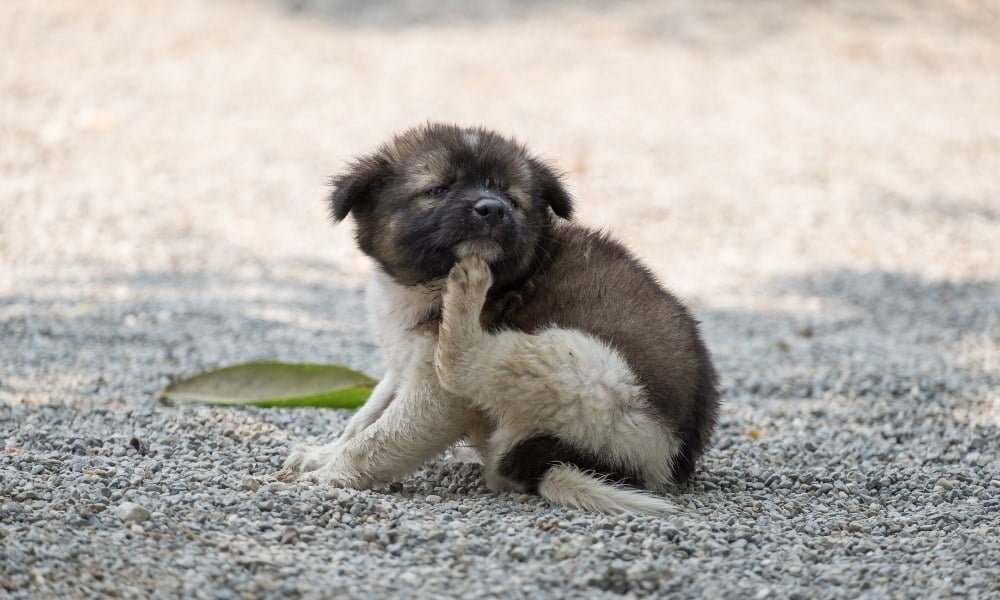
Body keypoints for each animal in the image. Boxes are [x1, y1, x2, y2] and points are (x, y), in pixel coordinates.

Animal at [282, 123, 720, 516]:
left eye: (511, 197)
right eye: (438, 189)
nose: (492, 209)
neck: (423, 285)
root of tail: (658, 462)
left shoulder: (438, 395)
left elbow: (379, 438)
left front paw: (328, 476)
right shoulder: (404, 361)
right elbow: (366, 417)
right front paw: (321, 455)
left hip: (588, 371)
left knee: (466, 365)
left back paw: (468, 292)